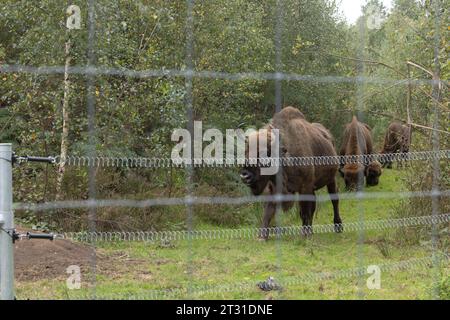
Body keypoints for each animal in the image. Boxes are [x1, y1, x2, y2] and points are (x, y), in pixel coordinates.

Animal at [239, 107, 342, 238]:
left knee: (334, 200)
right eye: (246, 151)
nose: (245, 176)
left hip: (331, 179)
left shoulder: (304, 187)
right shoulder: (274, 188)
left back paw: (337, 226)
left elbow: (304, 211)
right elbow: (268, 212)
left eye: (263, 152)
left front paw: (305, 234)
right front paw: (262, 236)